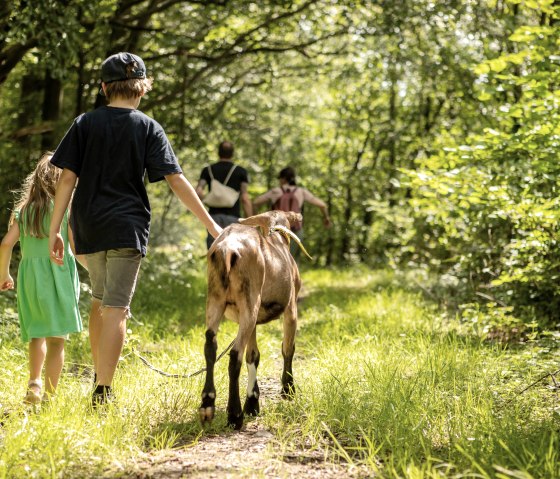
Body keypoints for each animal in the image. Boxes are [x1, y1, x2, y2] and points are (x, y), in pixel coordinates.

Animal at [199, 212, 306, 430]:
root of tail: (227, 248)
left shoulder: (251, 320)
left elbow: (253, 355)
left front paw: (252, 402)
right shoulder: (291, 309)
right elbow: (287, 348)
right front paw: (288, 389)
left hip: (217, 300)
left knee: (211, 346)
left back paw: (207, 403)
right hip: (249, 300)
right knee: (235, 355)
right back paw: (234, 415)